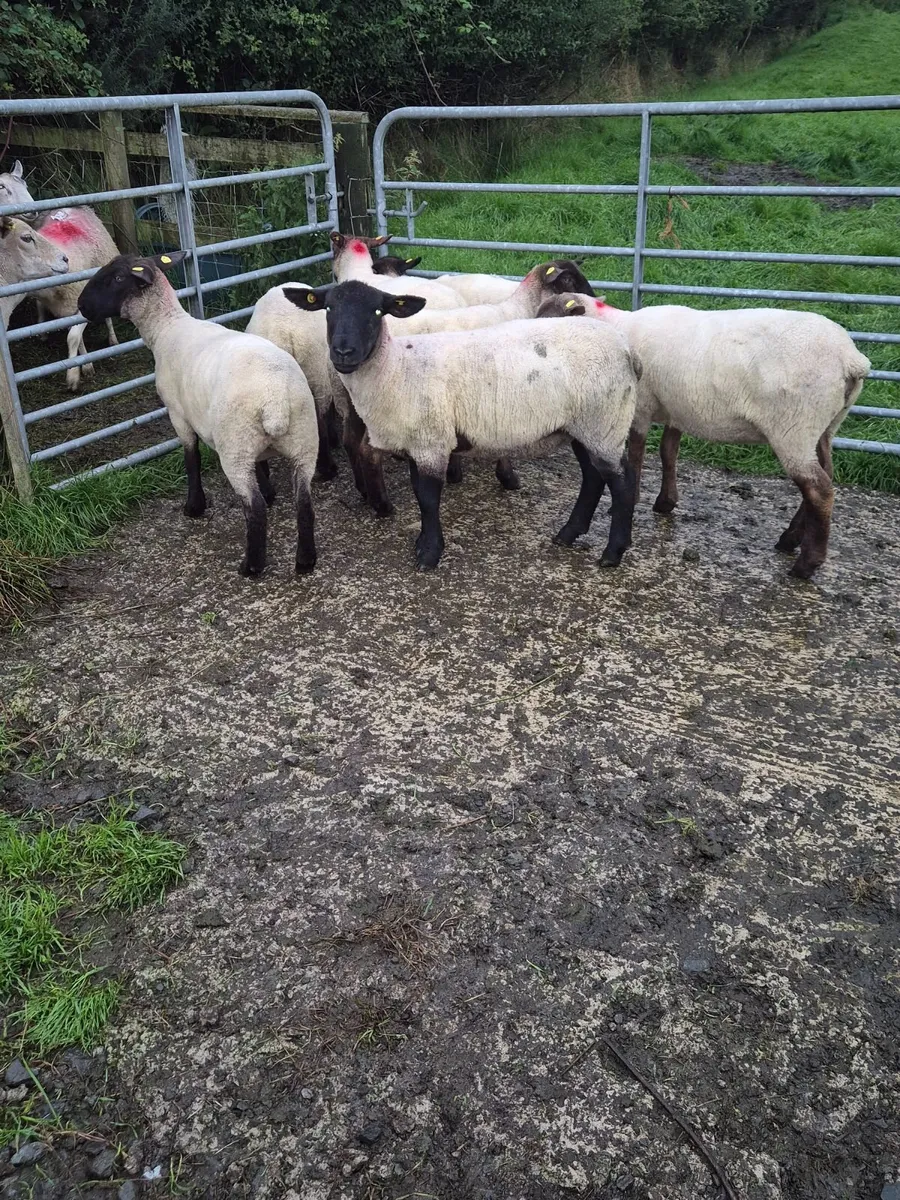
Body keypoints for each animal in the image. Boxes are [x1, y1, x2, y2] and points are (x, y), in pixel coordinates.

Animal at [78, 252, 318, 578]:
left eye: (116, 277)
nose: (81, 305)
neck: (165, 328)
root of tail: (275, 399)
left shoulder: (178, 414)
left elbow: (191, 458)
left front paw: (194, 507)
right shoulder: (255, 447)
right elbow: (261, 466)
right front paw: (269, 492)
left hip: (235, 447)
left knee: (254, 509)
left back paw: (251, 566)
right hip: (302, 441)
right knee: (304, 503)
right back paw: (305, 561)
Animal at [285, 280, 640, 571]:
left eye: (376, 311)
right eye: (328, 308)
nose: (344, 352)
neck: (395, 369)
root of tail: (626, 349)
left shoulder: (432, 442)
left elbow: (428, 499)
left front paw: (429, 555)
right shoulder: (417, 442)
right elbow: (419, 494)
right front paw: (422, 544)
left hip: (605, 423)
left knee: (620, 486)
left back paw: (612, 553)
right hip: (586, 427)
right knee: (593, 478)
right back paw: (568, 534)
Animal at [539, 293, 871, 579]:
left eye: (549, 316)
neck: (617, 327)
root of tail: (851, 359)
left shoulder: (640, 408)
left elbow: (636, 456)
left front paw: (631, 500)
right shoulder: (676, 409)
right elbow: (668, 452)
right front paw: (665, 502)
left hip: (795, 427)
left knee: (819, 489)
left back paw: (806, 563)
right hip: (825, 427)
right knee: (823, 478)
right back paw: (791, 539)